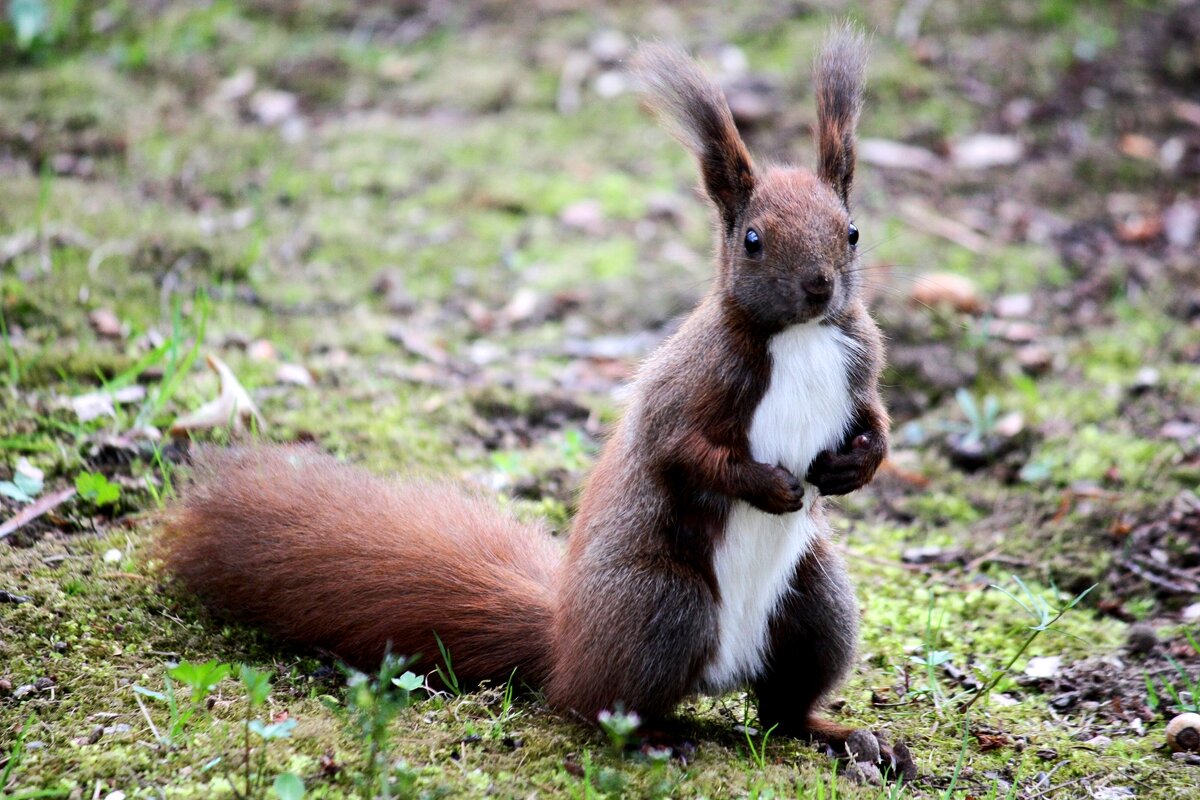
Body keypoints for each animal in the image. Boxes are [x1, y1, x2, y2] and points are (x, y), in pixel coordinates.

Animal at [164, 26, 902, 767]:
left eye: (853, 232)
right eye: (752, 240)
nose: (819, 286)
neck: (799, 336)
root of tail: (564, 638)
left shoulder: (861, 360)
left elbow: (876, 419)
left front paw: (855, 466)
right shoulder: (692, 382)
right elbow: (680, 447)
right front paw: (767, 486)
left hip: (816, 602)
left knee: (784, 705)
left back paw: (847, 737)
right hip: (663, 604)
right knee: (593, 703)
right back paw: (655, 738)